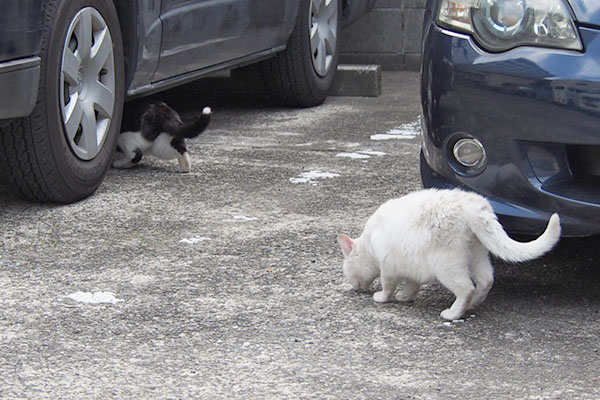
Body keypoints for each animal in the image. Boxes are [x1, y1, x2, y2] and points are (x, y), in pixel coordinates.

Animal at [338, 188, 564, 322]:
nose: (355, 287)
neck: (369, 242)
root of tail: (474, 205)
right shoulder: (411, 264)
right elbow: (412, 284)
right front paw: (405, 296)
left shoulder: (388, 267)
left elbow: (388, 286)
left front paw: (383, 297)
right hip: (477, 254)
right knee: (486, 280)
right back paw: (472, 306)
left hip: (447, 265)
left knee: (467, 288)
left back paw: (453, 313)